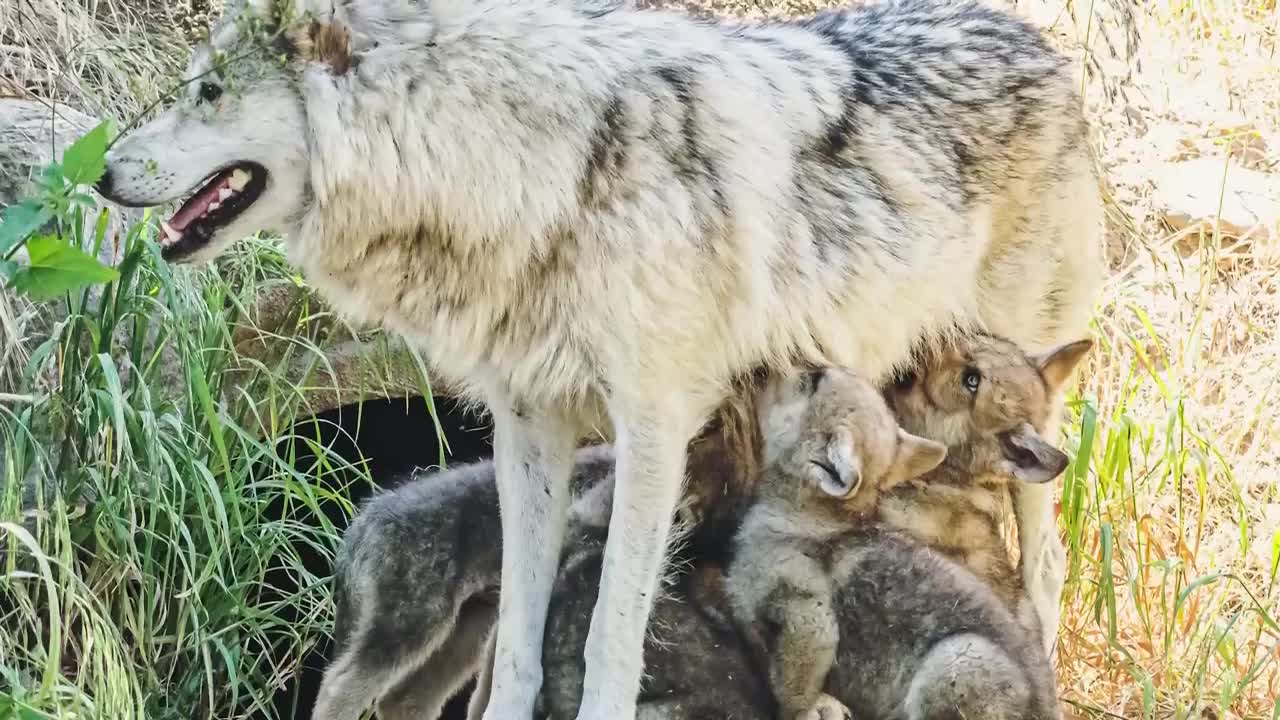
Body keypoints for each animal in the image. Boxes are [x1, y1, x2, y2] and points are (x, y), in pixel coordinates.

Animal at [727, 361, 1064, 717]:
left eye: (812, 381)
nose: (758, 368)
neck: (812, 515)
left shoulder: (809, 618)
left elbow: (793, 691)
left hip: (956, 660)